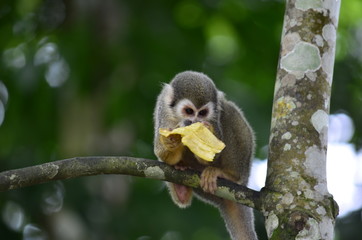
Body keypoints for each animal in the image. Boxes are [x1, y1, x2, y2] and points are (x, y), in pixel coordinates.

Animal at [153, 70, 258, 239]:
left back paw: (230, 175)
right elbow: (162, 153)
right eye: (189, 111)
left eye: (202, 113)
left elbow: (212, 151)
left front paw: (205, 132)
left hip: (243, 171)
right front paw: (172, 140)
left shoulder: (215, 115)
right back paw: (181, 188)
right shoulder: (163, 108)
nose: (195, 121)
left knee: (229, 111)